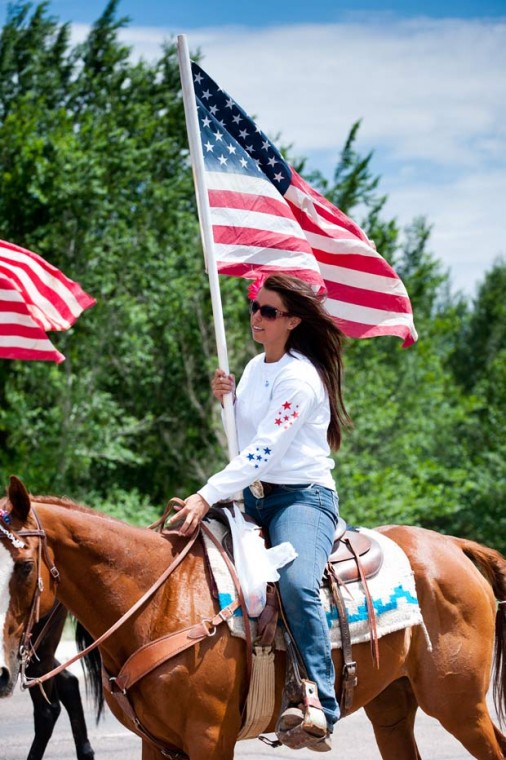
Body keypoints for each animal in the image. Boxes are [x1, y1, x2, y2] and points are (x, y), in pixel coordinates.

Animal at [0, 476, 506, 760]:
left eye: (23, 566)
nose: (3, 673)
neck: (159, 603)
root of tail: (454, 546)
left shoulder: (209, 740)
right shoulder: (158, 744)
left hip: (459, 705)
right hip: (392, 707)